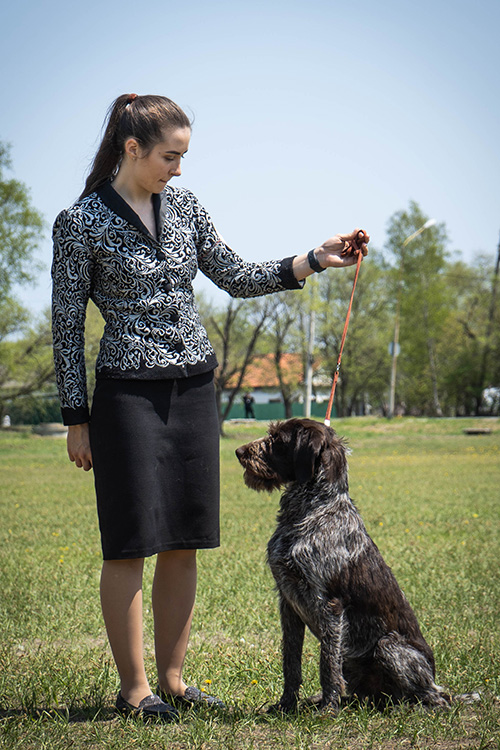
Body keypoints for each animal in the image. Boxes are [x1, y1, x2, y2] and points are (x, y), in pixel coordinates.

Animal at [236, 420, 452, 712]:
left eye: (277, 439)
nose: (239, 452)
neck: (313, 508)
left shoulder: (329, 606)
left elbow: (327, 663)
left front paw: (328, 709)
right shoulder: (288, 601)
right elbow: (291, 661)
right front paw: (286, 705)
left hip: (388, 646)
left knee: (433, 697)